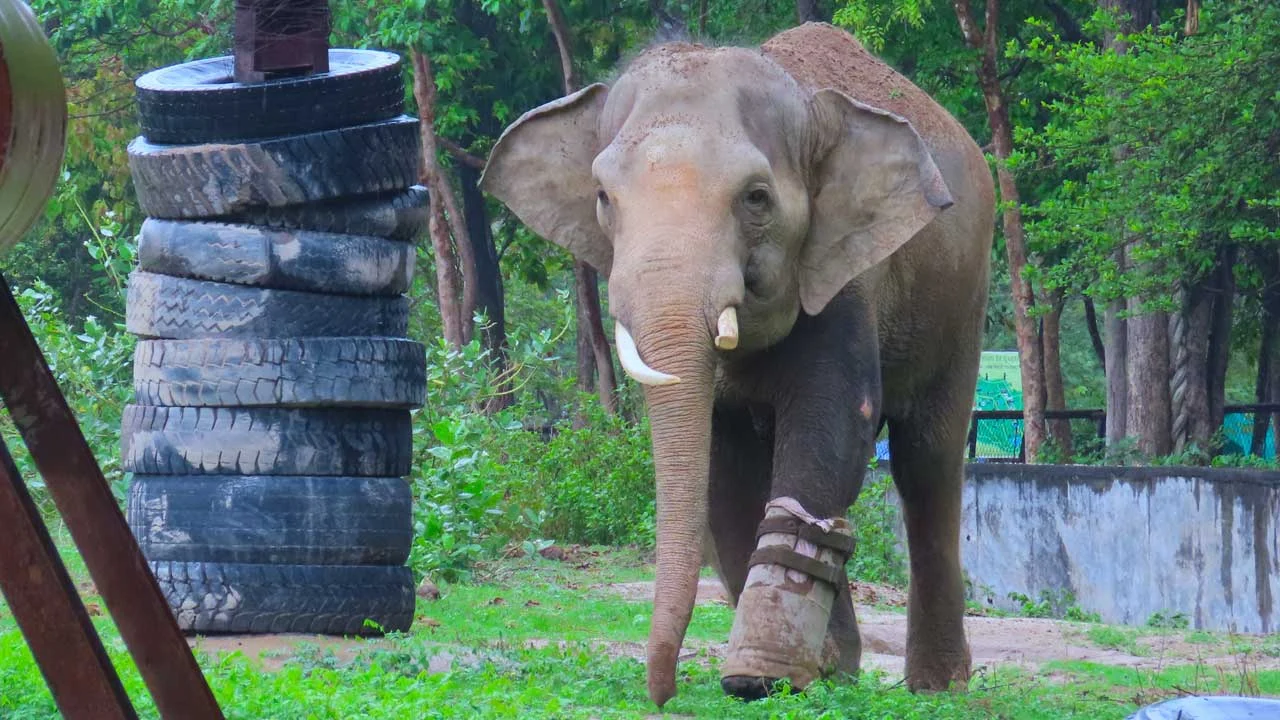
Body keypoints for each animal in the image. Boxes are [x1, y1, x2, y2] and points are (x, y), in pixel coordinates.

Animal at [481, 22, 994, 707]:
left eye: (756, 198)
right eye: (602, 198)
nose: (661, 695)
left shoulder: (844, 277)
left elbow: (834, 424)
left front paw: (760, 675)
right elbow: (722, 459)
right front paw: (793, 675)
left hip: (962, 298)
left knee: (927, 462)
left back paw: (937, 688)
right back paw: (842, 670)